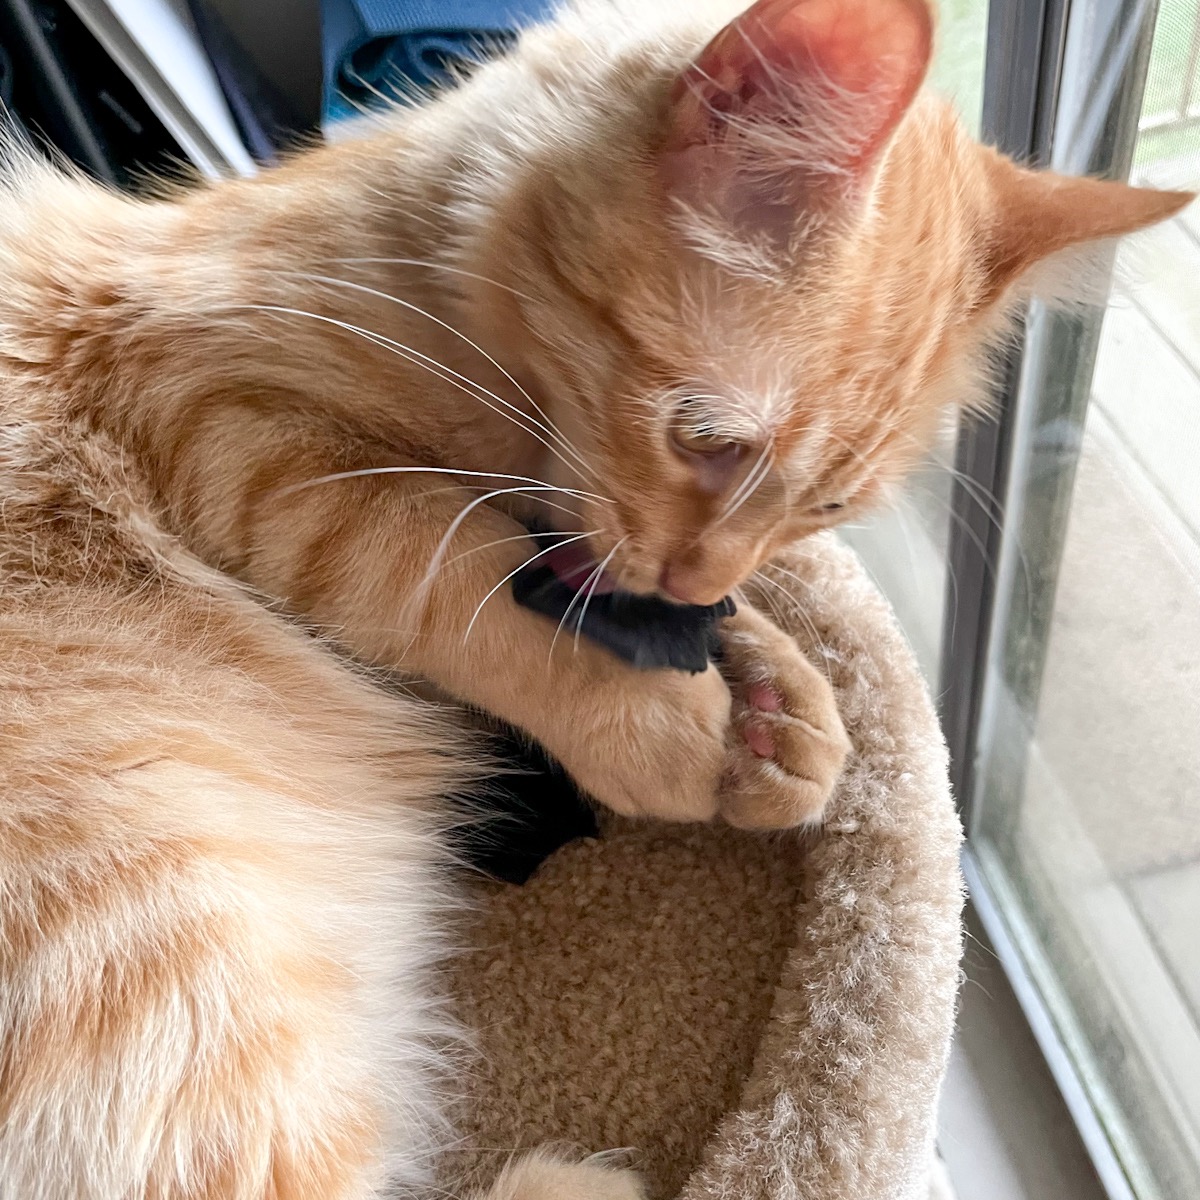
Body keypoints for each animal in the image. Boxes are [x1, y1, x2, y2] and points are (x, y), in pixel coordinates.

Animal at [0, 0, 1190, 1190]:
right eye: (709, 440)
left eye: (824, 508)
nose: (701, 574)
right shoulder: (219, 422)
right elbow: (440, 565)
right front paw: (647, 716)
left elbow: (647, 600)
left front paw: (785, 702)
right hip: (163, 933)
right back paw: (583, 1179)